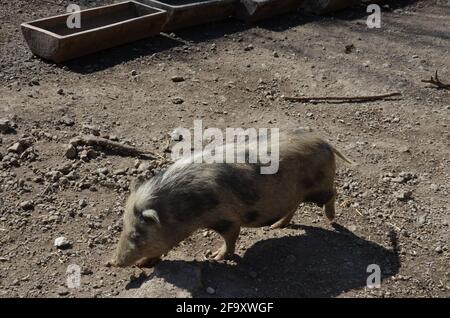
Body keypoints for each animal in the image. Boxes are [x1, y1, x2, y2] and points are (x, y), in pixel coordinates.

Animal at [110, 130, 354, 268]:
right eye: (123, 228)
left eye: (137, 234)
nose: (116, 263)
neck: (185, 208)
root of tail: (325, 143)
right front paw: (144, 264)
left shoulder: (226, 218)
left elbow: (231, 237)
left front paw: (215, 257)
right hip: (294, 193)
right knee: (294, 205)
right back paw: (276, 226)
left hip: (320, 186)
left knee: (332, 194)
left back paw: (331, 219)